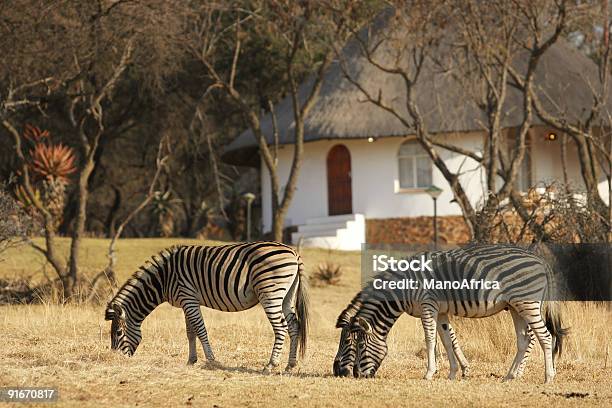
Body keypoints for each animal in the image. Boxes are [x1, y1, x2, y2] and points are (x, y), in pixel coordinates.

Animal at [103, 242, 310, 372]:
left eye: (118, 333)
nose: (114, 360)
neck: (163, 278)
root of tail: (293, 252)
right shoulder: (186, 301)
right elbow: (190, 332)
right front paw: (191, 361)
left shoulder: (188, 297)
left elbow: (201, 330)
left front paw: (212, 361)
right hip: (287, 295)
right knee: (294, 326)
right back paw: (290, 364)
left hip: (270, 292)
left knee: (281, 327)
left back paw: (271, 364)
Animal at [332, 245, 568, 382]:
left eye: (355, 345)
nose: (340, 373)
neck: (403, 287)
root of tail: (540, 259)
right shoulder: (441, 312)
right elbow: (447, 340)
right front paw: (454, 372)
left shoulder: (428, 305)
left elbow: (430, 339)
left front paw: (429, 373)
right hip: (516, 307)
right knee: (525, 339)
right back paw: (510, 376)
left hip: (527, 303)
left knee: (544, 336)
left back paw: (548, 377)